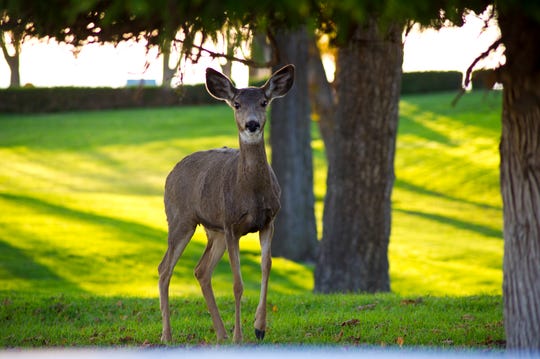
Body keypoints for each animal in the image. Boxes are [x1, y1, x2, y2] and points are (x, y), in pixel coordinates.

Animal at [158, 64, 296, 344]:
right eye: (237, 104)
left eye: (264, 102)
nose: (252, 124)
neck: (251, 193)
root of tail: (170, 173)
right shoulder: (232, 224)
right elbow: (237, 283)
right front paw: (239, 337)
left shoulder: (269, 220)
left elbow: (266, 267)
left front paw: (259, 327)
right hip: (180, 219)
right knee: (164, 269)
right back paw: (167, 335)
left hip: (215, 231)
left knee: (201, 270)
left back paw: (220, 333)